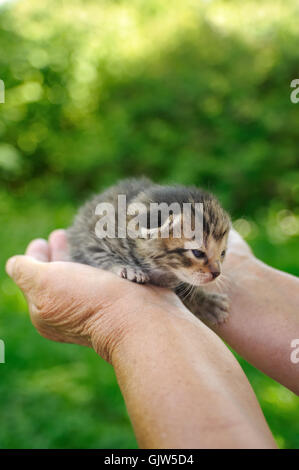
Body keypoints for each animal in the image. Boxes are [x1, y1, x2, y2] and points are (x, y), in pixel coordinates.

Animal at [68, 178, 232, 324]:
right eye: (198, 253)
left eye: (222, 254)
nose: (217, 274)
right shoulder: (89, 243)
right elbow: (99, 255)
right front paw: (128, 268)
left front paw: (206, 302)